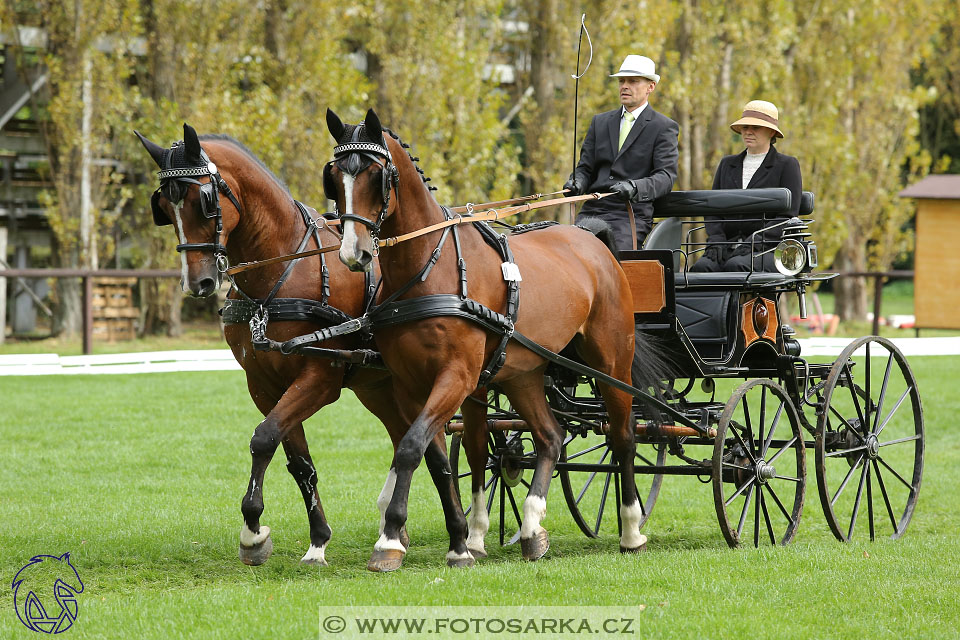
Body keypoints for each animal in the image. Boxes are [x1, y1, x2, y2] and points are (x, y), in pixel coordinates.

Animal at [137, 125, 474, 568]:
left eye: (204, 202)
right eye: (164, 205)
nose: (199, 283)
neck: (283, 269)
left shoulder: (319, 378)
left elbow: (264, 438)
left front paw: (253, 532)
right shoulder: (264, 386)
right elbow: (297, 461)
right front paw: (314, 540)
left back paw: (464, 535)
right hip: (382, 387)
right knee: (415, 442)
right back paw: (397, 530)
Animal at [324, 110, 660, 568]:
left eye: (376, 175)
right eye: (334, 175)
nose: (352, 254)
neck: (430, 268)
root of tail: (592, 241)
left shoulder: (458, 377)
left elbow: (411, 448)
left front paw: (390, 540)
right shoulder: (411, 385)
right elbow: (440, 456)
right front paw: (463, 540)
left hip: (611, 363)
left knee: (623, 437)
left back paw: (630, 529)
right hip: (522, 374)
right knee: (549, 436)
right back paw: (532, 528)